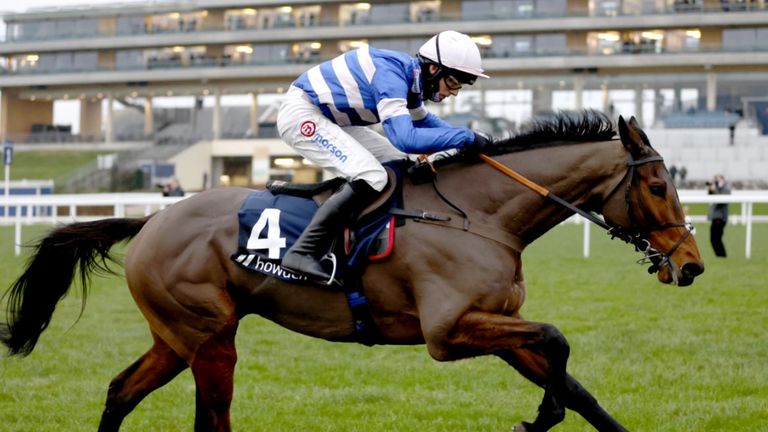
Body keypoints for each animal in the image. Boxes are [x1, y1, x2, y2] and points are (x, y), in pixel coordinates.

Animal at [1, 113, 704, 430]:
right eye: (660, 185)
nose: (693, 265)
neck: (480, 214)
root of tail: (151, 220)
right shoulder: (448, 333)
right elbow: (558, 339)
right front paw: (540, 415)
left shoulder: (497, 324)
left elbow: (574, 382)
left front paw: (553, 408)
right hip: (208, 337)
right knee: (211, 417)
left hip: (178, 337)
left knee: (122, 390)